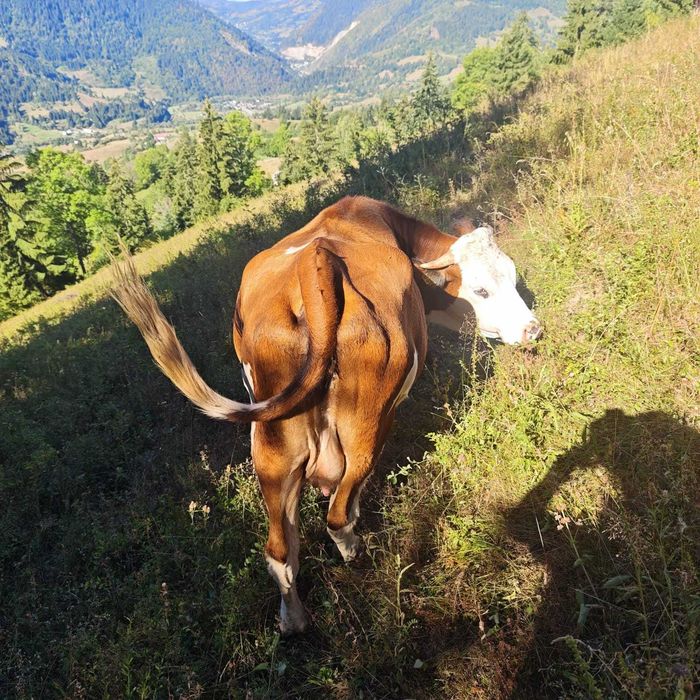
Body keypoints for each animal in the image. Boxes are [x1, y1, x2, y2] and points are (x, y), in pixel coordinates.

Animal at [112, 195, 541, 634]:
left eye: (512, 275)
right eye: (481, 289)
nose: (533, 329)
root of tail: (315, 261)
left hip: (271, 449)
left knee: (279, 551)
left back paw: (294, 619)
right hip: (367, 426)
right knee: (338, 516)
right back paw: (356, 555)